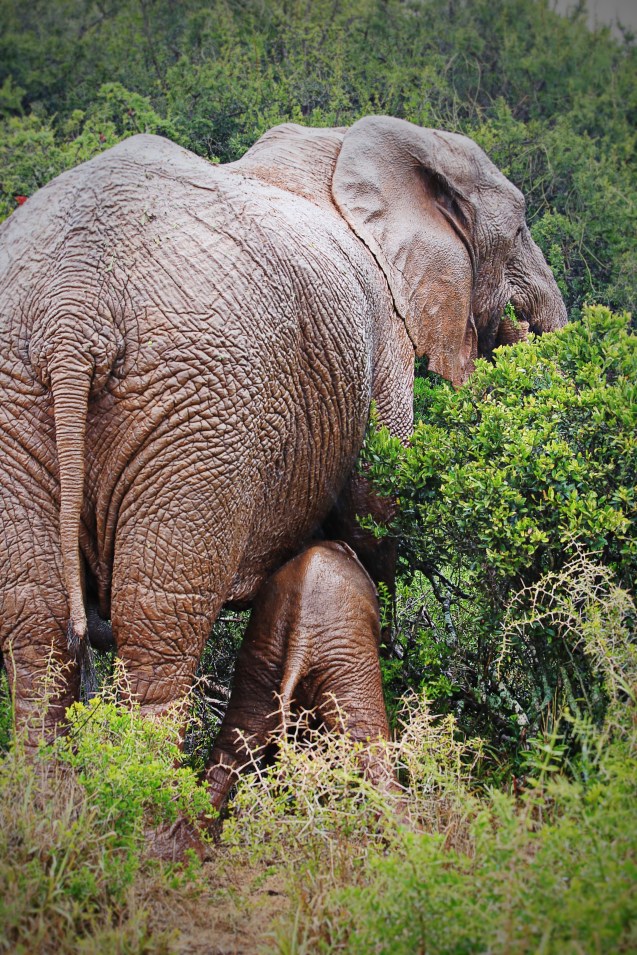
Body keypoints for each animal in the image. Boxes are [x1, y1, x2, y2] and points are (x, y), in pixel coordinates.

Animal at [0, 116, 567, 773]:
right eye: (522, 229)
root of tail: (73, 312)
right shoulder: (381, 330)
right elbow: (376, 511)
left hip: (21, 395)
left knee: (36, 626)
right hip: (204, 410)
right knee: (158, 627)